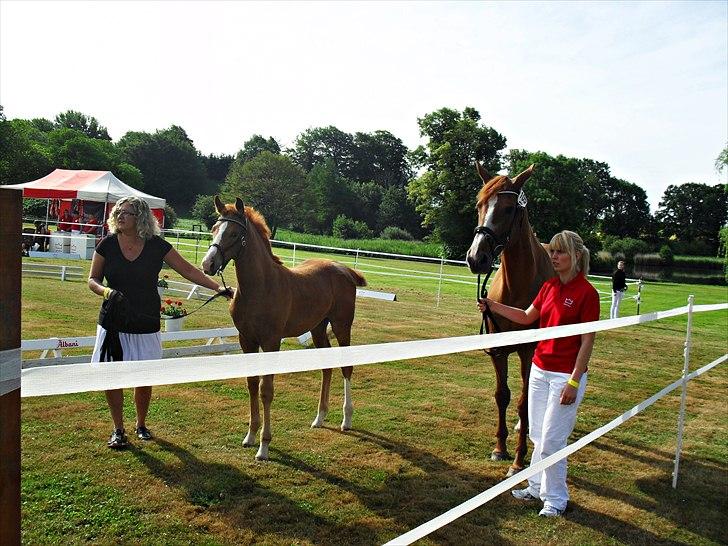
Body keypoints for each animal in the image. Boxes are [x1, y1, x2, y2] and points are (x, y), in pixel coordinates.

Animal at [202, 196, 366, 460]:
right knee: (327, 367)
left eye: (235, 233)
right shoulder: (246, 340)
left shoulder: (271, 342)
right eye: (214, 228)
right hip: (318, 328)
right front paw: (250, 436)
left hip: (342, 326)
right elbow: (251, 384)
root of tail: (345, 269)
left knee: (346, 367)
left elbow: (266, 390)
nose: (208, 263)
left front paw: (264, 446)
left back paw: (346, 419)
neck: (261, 287)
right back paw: (319, 418)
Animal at [466, 159, 552, 474]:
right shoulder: (499, 349)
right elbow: (502, 396)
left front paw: (518, 459)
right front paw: (500, 448)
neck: (517, 285)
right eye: (479, 204)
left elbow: (524, 401)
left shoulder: (528, 351)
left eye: (507, 209)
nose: (476, 258)